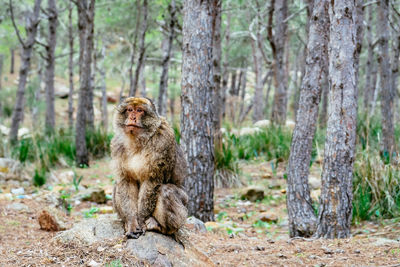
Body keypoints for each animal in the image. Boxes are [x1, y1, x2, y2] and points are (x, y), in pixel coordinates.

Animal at [111, 97, 188, 240]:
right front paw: (131, 222)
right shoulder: (117, 145)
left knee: (166, 191)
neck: (138, 140)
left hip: (185, 205)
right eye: (129, 109)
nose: (133, 117)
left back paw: (160, 227)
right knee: (117, 185)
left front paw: (141, 220)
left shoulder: (162, 142)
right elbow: (126, 181)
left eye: (139, 110)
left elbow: (152, 181)